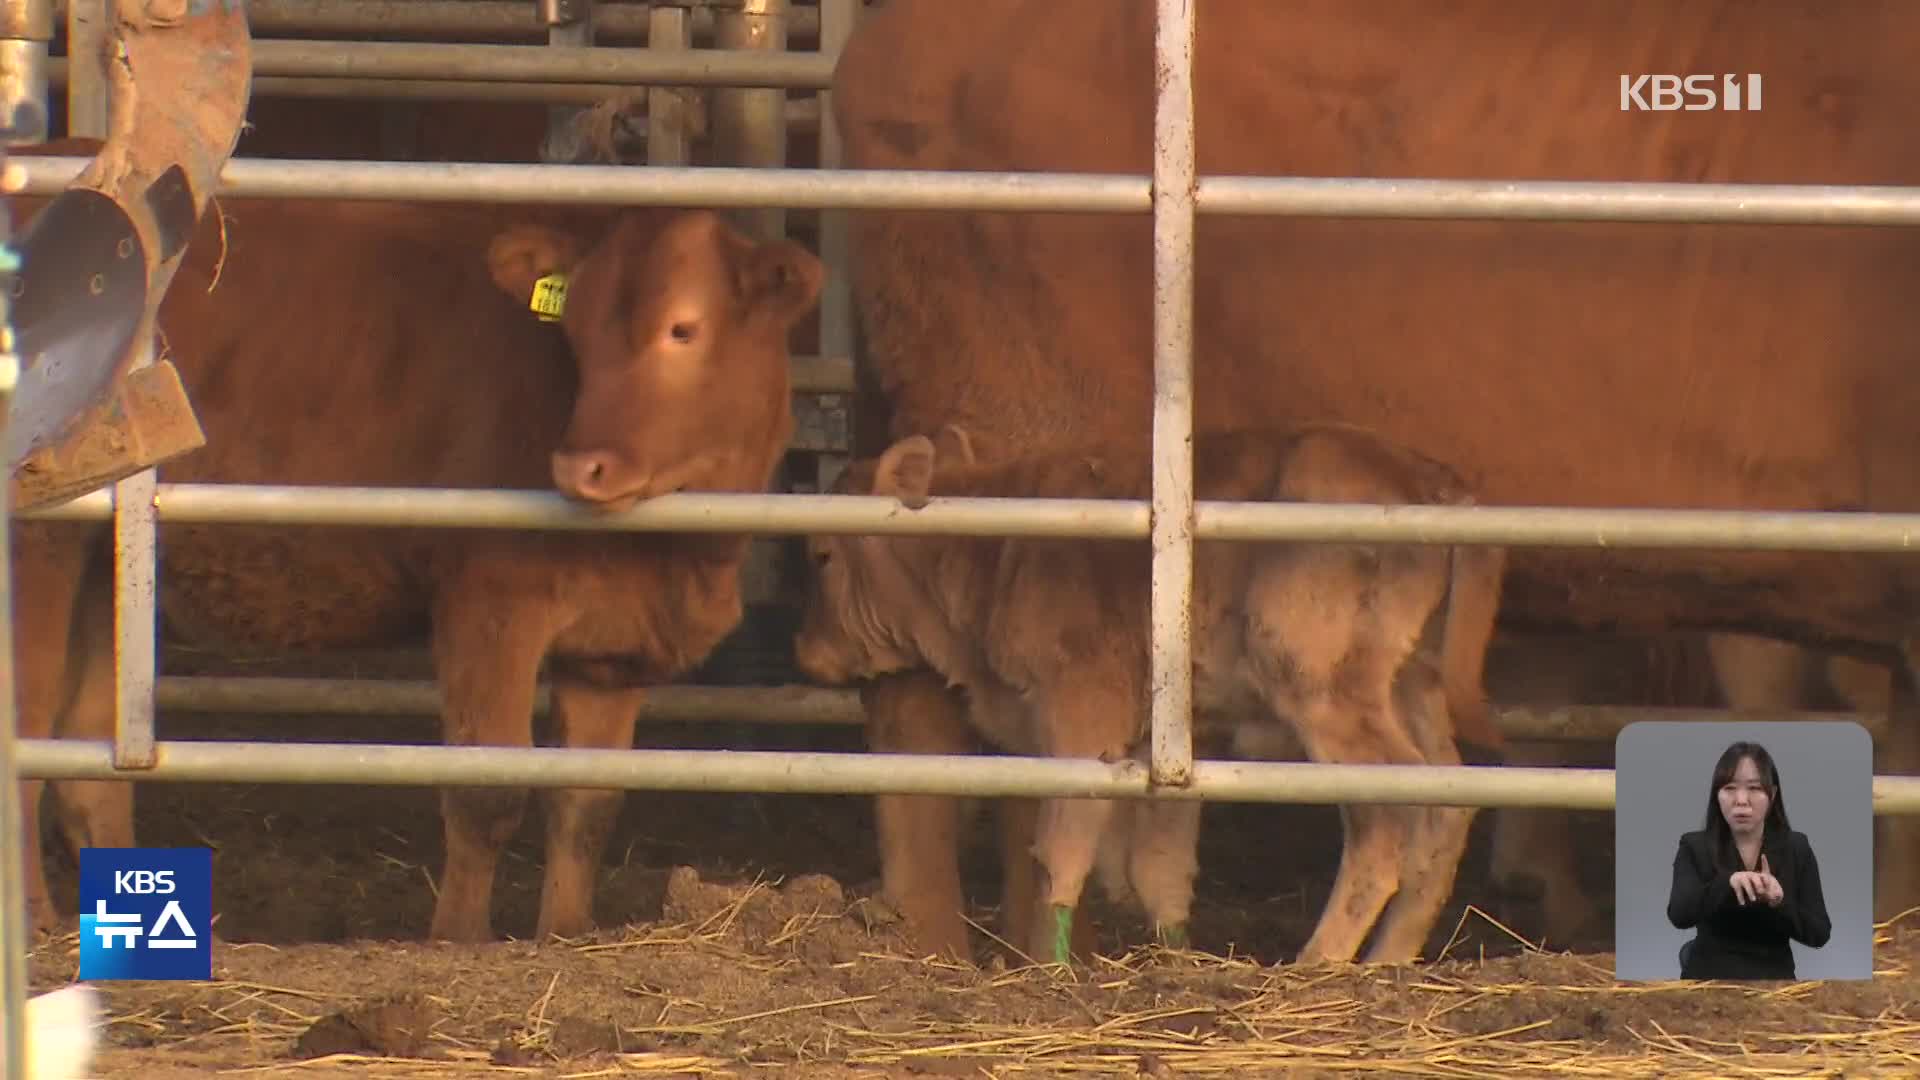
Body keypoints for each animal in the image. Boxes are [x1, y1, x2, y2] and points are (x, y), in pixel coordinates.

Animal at [13, 136, 825, 941]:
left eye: (683, 328)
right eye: (577, 335)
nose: (580, 466)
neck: (677, 554)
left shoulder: (612, 649)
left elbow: (586, 804)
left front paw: (564, 934)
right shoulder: (490, 601)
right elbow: (487, 790)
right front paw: (459, 941)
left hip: (101, 566)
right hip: (38, 548)